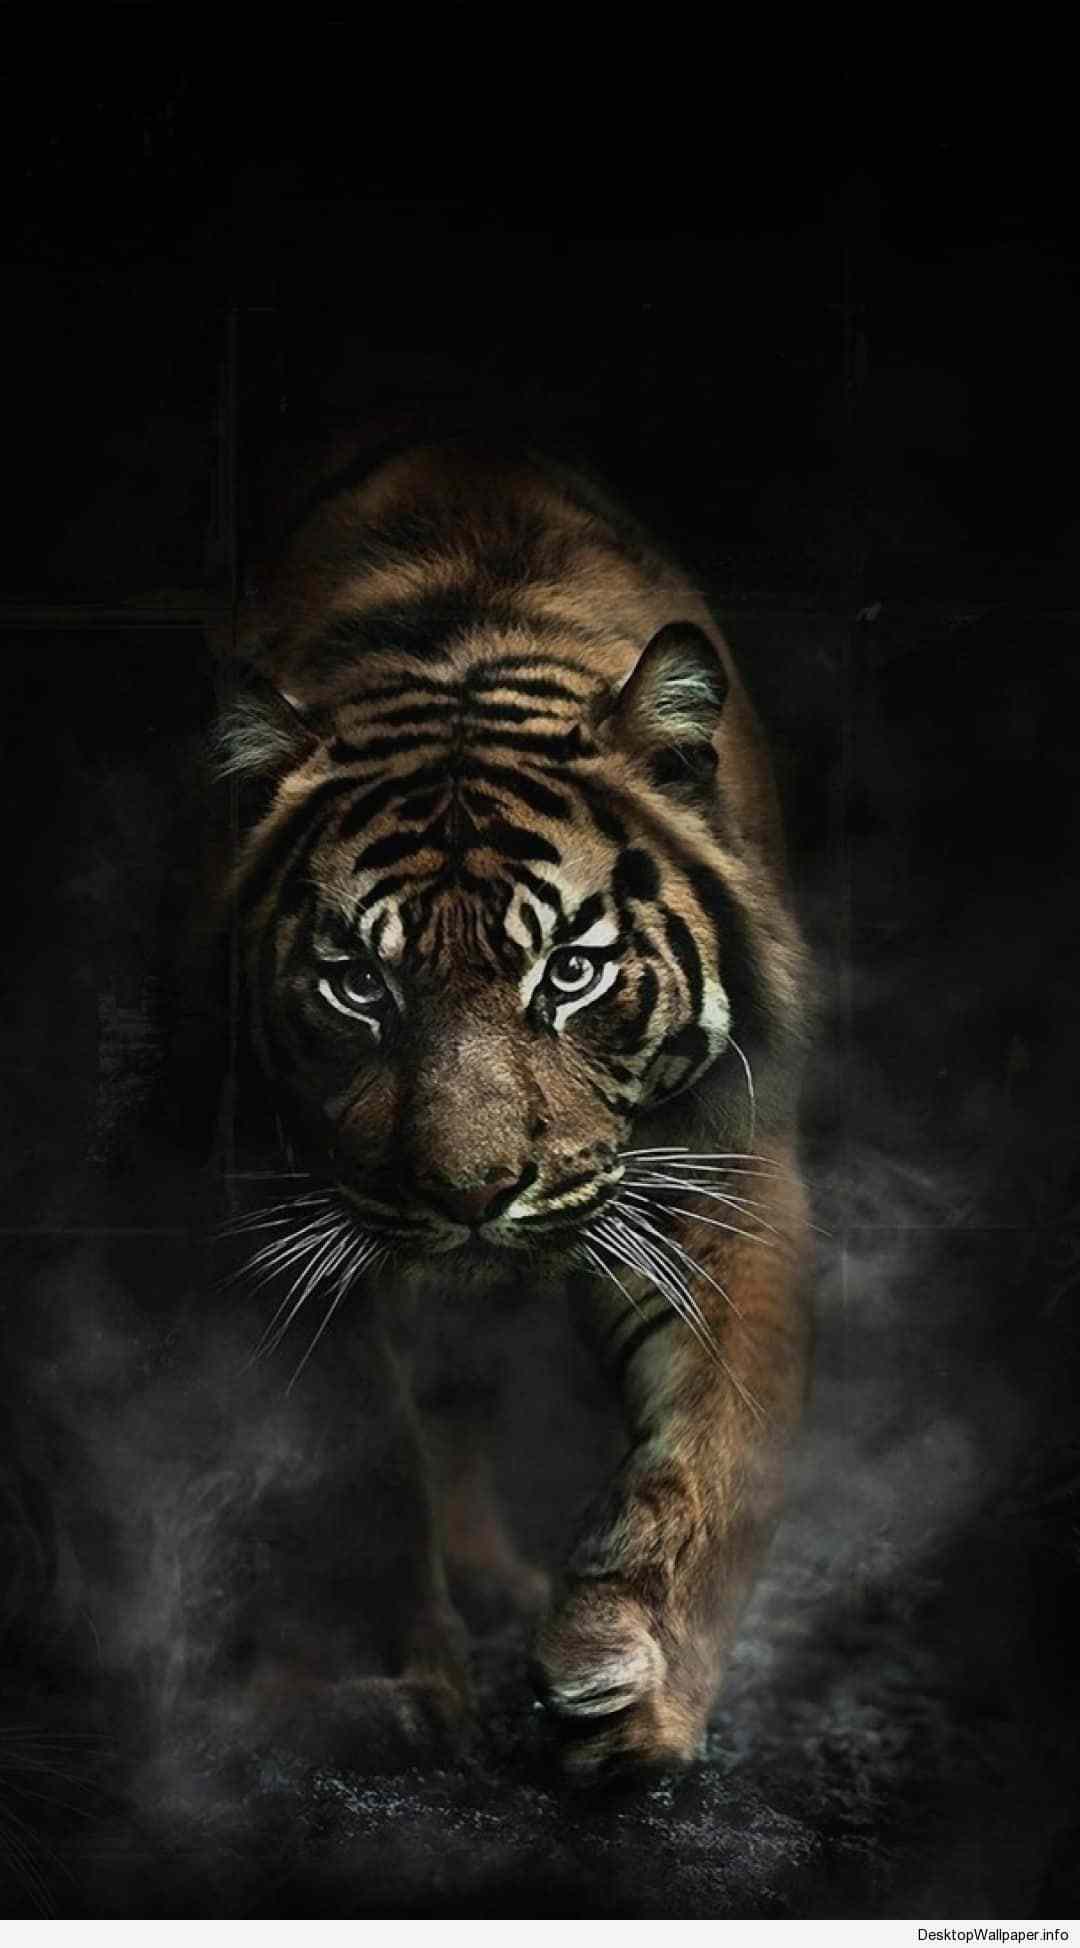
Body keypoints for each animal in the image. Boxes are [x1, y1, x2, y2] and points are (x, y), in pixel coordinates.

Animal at [212, 437, 813, 1780]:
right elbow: (360, 1457)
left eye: (572, 972)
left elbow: (716, 1445)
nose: (473, 1192)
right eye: (359, 982)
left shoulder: (723, 1174)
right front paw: (391, 1684)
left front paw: (631, 1682)